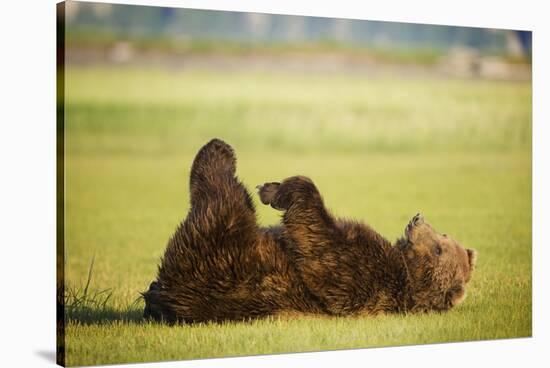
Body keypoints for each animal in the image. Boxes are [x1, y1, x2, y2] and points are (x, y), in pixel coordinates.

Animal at [143, 139, 478, 324]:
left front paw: (275, 190)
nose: (418, 219)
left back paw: (220, 152)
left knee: (221, 199)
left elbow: (319, 241)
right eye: (445, 237)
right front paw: (273, 186)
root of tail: (169, 298)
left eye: (439, 248)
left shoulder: (364, 273)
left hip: (219, 257)